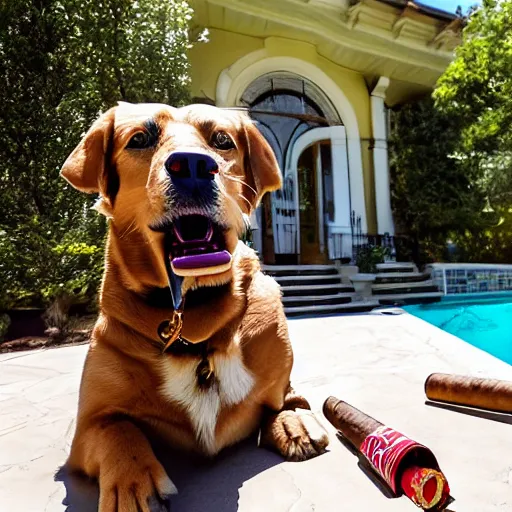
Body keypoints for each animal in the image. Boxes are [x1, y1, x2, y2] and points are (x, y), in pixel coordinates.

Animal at [61, 102, 328, 510]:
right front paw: (132, 484)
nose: (192, 166)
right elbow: (119, 428)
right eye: (140, 138)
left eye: (222, 139)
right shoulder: (89, 425)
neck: (196, 321)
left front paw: (289, 418)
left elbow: (283, 397)